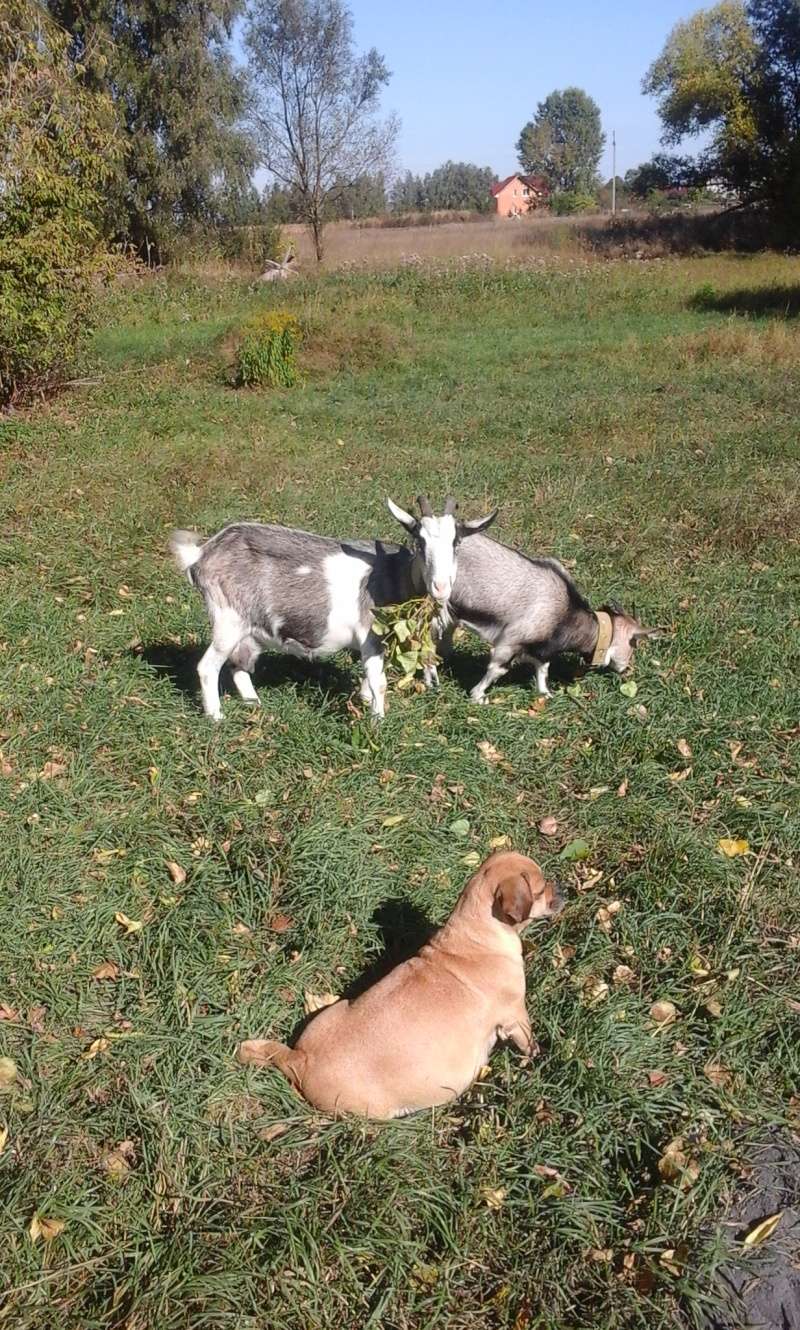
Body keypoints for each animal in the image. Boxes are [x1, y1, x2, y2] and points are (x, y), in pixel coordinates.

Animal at [168, 497, 491, 718]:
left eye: (457, 542)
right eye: (419, 541)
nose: (441, 587)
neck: (392, 574)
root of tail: (201, 554)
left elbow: (370, 678)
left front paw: (365, 702)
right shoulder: (370, 633)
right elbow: (379, 681)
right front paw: (378, 721)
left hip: (251, 629)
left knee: (240, 665)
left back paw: (254, 704)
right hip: (228, 620)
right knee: (208, 667)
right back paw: (216, 717)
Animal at [236, 845, 560, 1117]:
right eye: (541, 889)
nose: (562, 888)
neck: (476, 932)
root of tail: (299, 1060)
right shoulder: (515, 1015)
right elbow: (528, 1042)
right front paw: (538, 1058)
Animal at [433, 524, 656, 702]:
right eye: (633, 643)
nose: (626, 670)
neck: (566, 613)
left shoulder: (541, 648)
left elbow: (542, 668)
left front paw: (545, 693)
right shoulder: (511, 640)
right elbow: (498, 668)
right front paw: (477, 695)